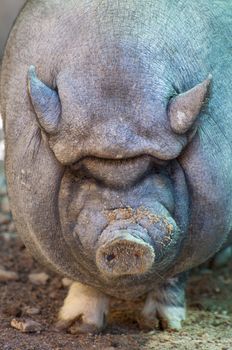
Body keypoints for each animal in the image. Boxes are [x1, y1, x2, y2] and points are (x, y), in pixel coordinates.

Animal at [0, 0, 232, 334]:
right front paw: (76, 327)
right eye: (82, 172)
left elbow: (174, 278)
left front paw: (161, 325)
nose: (125, 239)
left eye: (159, 167)